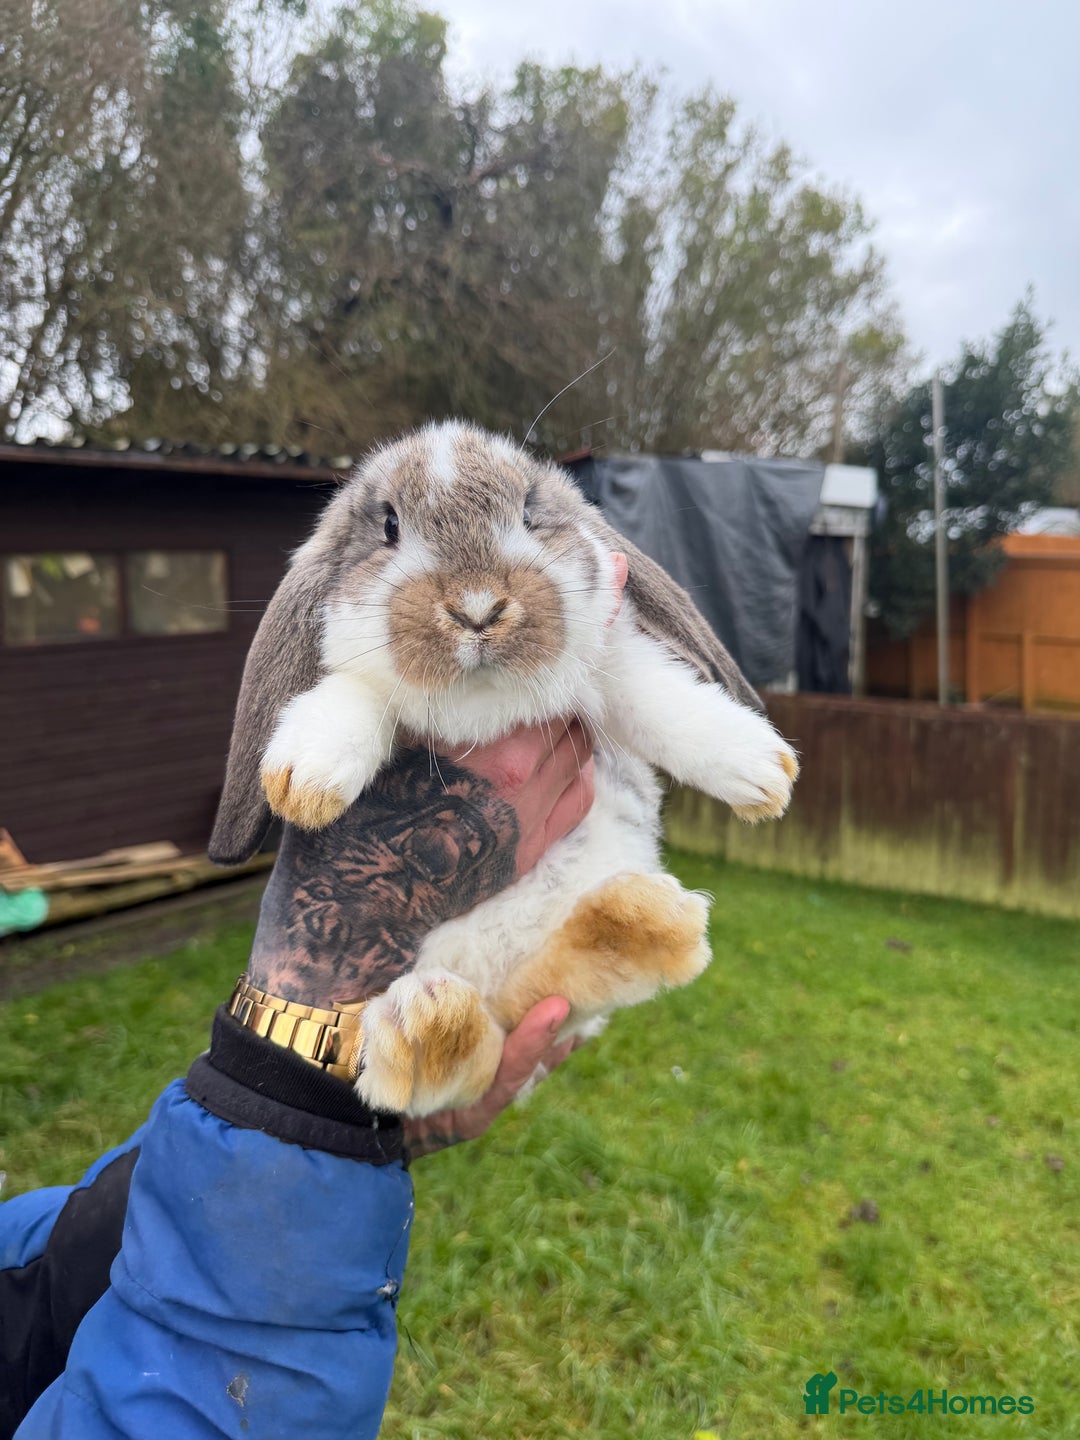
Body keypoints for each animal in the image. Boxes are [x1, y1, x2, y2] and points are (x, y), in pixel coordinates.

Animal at [209, 421, 798, 1117]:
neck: (486, 708)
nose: (478, 607)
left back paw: (645, 924)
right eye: (389, 526)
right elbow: (356, 695)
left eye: (528, 513)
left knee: (548, 991)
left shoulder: (612, 664)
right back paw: (428, 1029)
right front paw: (305, 777)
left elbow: (656, 696)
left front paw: (762, 771)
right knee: (469, 1054)